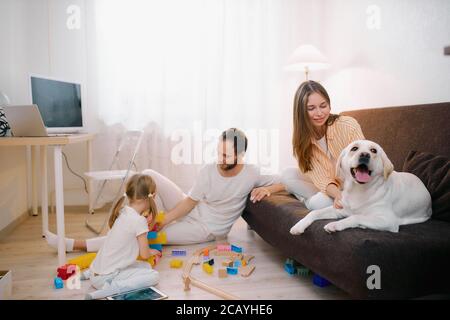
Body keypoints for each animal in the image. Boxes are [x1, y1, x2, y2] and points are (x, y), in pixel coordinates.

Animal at [290, 139, 430, 234]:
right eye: (354, 148)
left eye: (373, 150)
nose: (365, 155)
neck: (358, 190)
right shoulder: (339, 209)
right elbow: (314, 212)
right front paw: (298, 226)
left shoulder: (388, 220)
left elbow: (356, 216)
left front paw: (335, 225)